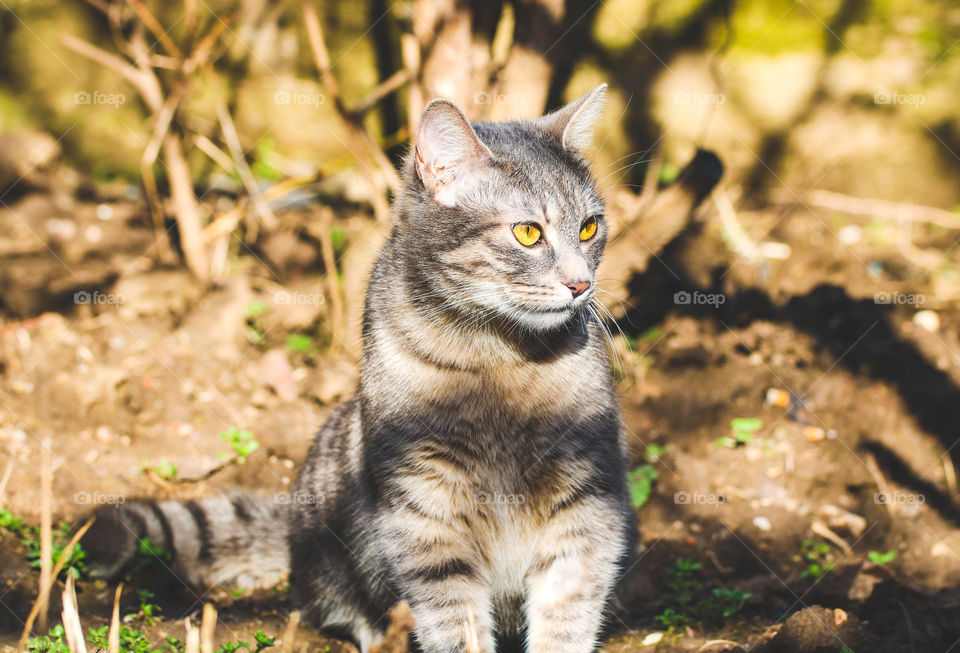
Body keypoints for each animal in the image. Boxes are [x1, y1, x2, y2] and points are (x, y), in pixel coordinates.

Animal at [82, 84, 632, 648]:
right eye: (527, 233)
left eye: (589, 227)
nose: (581, 284)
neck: (499, 360)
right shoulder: (422, 508)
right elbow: (454, 623)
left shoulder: (587, 500)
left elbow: (566, 615)